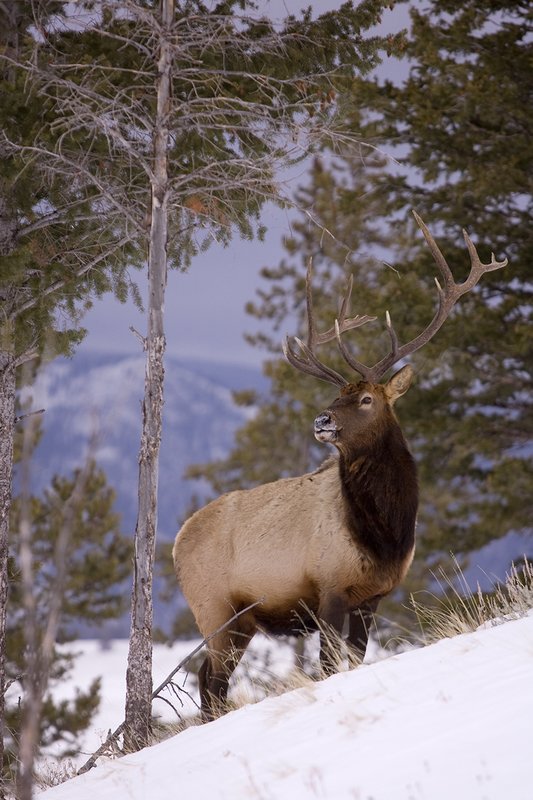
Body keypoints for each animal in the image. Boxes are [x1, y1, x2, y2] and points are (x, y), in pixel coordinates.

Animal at [173, 212, 507, 720]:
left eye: (366, 399)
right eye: (335, 397)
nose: (322, 420)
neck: (384, 533)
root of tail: (175, 541)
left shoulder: (372, 597)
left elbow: (355, 657)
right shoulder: (327, 588)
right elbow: (329, 666)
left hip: (241, 622)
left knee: (211, 682)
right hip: (213, 610)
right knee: (211, 683)